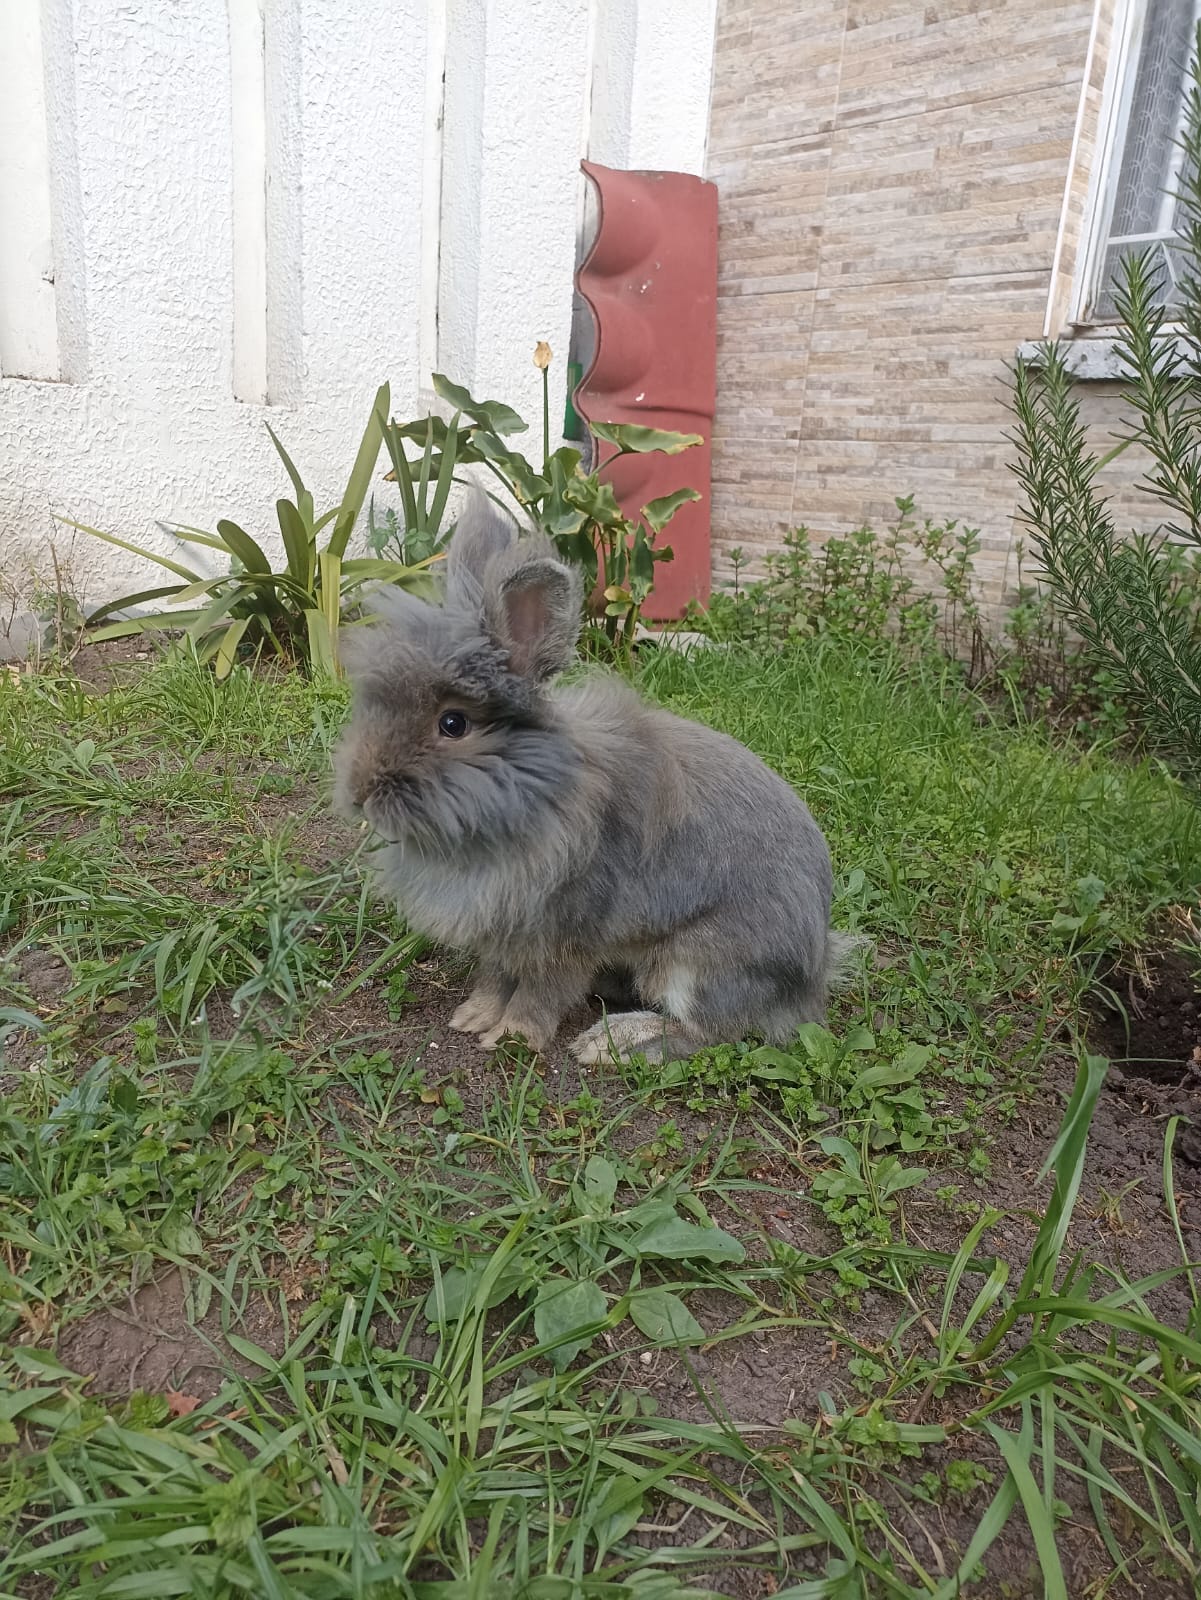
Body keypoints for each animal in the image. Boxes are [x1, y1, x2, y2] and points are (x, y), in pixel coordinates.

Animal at [331, 486, 857, 1062]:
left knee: (709, 1032)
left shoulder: (566, 935)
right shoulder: (503, 931)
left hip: (698, 962)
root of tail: (811, 975)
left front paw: (513, 1038)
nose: (360, 793)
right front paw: (472, 1018)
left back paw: (611, 1042)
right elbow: (495, 977)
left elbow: (541, 992)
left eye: (453, 723)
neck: (539, 794)